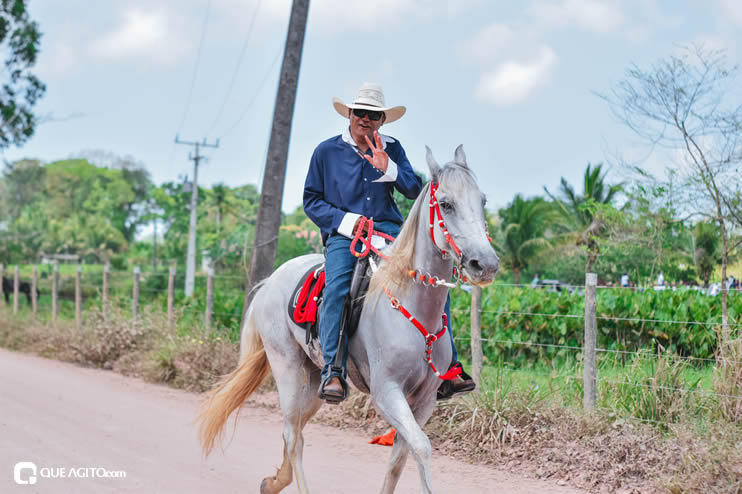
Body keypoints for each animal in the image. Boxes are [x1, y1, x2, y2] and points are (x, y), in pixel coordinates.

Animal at [198, 145, 499, 493]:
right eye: (447, 204)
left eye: (483, 201)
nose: (485, 264)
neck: (409, 301)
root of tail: (269, 282)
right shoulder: (387, 392)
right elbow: (422, 447)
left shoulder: (424, 401)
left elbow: (398, 461)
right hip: (287, 368)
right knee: (293, 436)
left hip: (312, 379)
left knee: (296, 431)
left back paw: (273, 482)